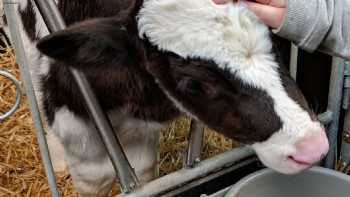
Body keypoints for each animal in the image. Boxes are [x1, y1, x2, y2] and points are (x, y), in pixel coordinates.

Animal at [2, 0, 330, 195]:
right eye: (191, 84)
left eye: (275, 40)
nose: (311, 146)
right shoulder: (80, 140)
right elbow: (95, 179)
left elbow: (146, 173)